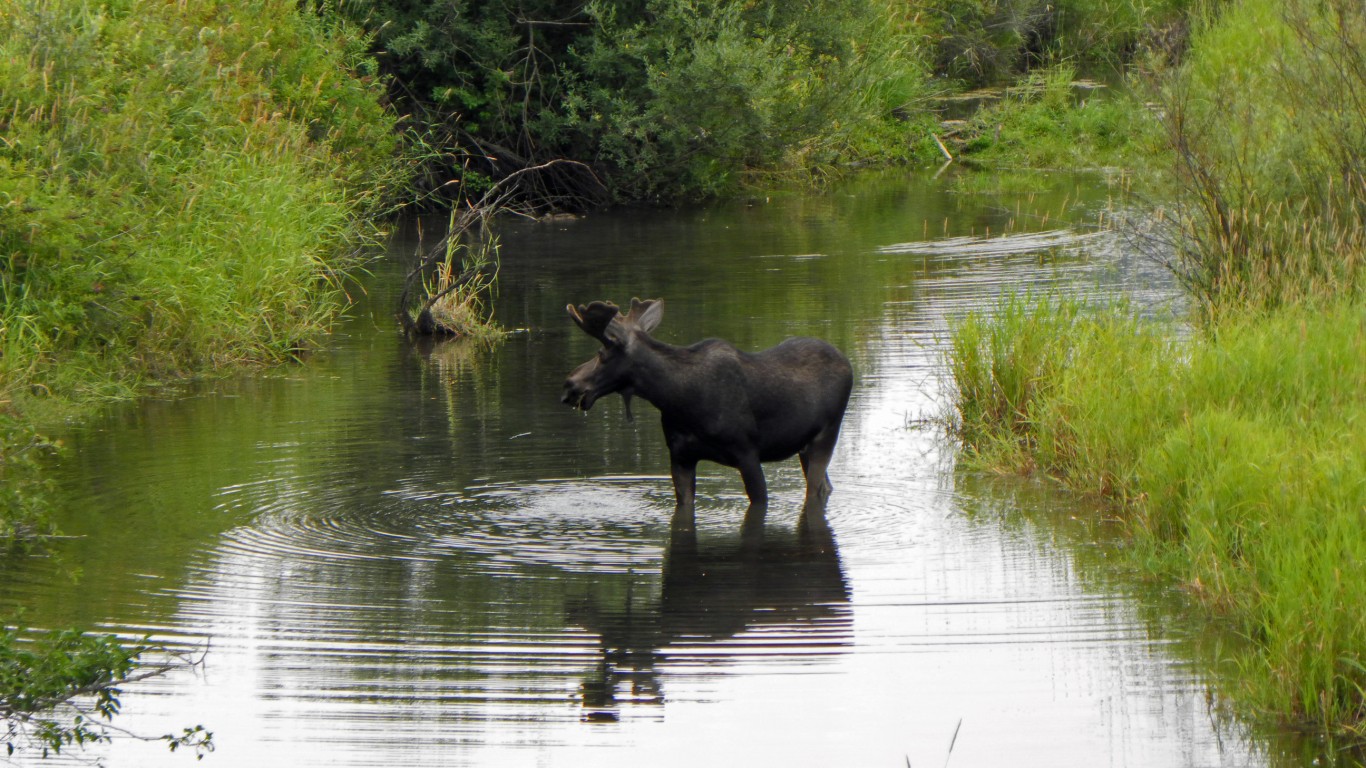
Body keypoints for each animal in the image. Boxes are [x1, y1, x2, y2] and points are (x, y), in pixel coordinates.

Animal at [560, 297, 846, 508]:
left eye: (602, 353)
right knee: (825, 486)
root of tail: (848, 363)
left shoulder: (747, 451)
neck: (677, 399)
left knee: (815, 489)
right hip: (804, 446)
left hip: (826, 435)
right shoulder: (681, 456)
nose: (569, 385)